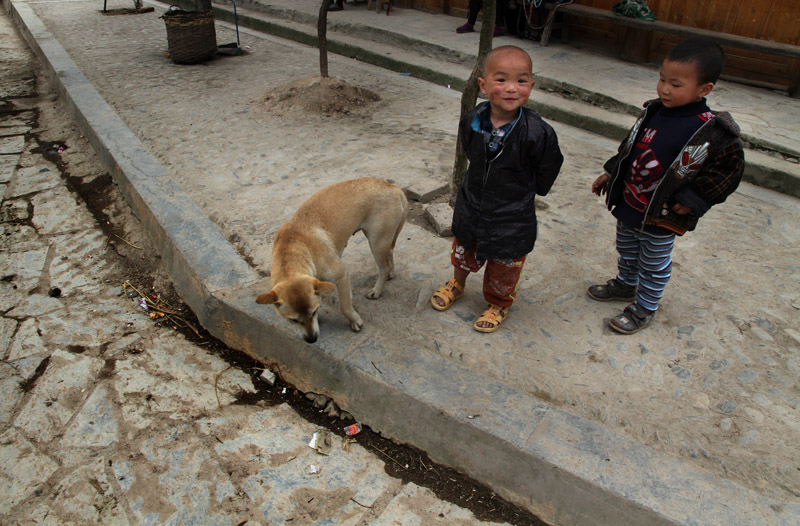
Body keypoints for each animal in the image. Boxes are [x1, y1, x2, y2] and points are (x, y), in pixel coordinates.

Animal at [256, 178, 406, 342]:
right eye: (293, 320)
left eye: (313, 312)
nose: (311, 340)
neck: (291, 251)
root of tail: (393, 187)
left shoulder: (342, 276)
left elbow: (345, 306)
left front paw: (355, 321)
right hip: (382, 241)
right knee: (389, 254)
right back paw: (391, 273)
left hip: (376, 242)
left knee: (384, 267)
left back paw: (377, 289)